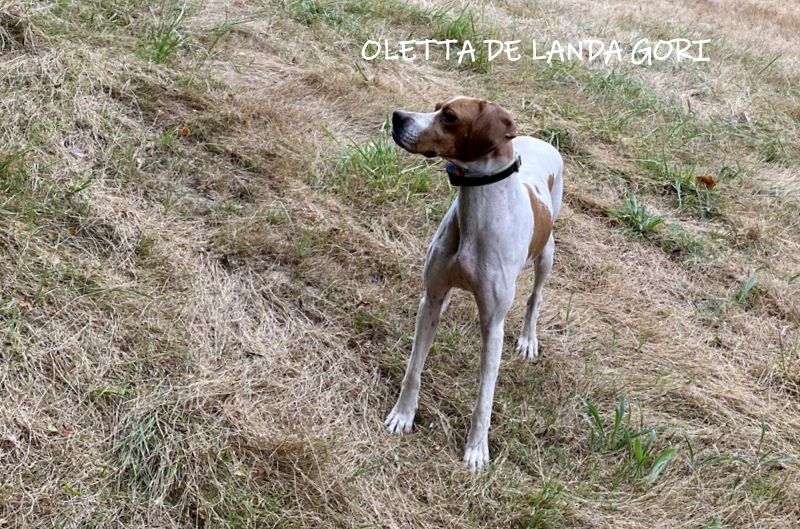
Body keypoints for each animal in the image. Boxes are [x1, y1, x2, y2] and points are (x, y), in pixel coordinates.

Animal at [386, 95, 564, 466]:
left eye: (450, 117)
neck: (476, 214)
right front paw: (403, 415)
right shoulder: (432, 297)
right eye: (436, 106)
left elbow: (485, 396)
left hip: (547, 254)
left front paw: (477, 449)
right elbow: (414, 368)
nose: (397, 117)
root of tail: (543, 142)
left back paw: (528, 339)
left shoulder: (493, 325)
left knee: (535, 297)